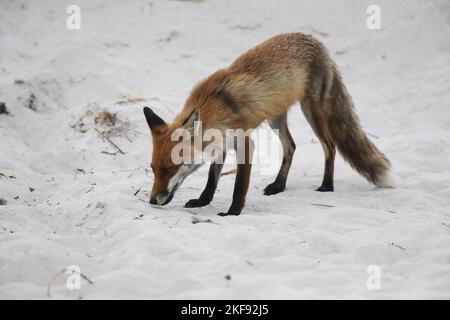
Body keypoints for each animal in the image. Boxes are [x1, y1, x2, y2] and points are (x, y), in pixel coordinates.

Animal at [144, 32, 394, 216]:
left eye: (169, 169)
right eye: (153, 169)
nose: (152, 200)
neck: (215, 105)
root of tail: (317, 42)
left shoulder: (244, 143)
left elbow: (239, 186)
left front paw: (233, 213)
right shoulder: (222, 143)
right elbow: (212, 179)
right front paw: (203, 201)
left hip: (311, 110)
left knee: (330, 147)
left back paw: (326, 185)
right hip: (276, 119)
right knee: (291, 147)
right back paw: (279, 185)